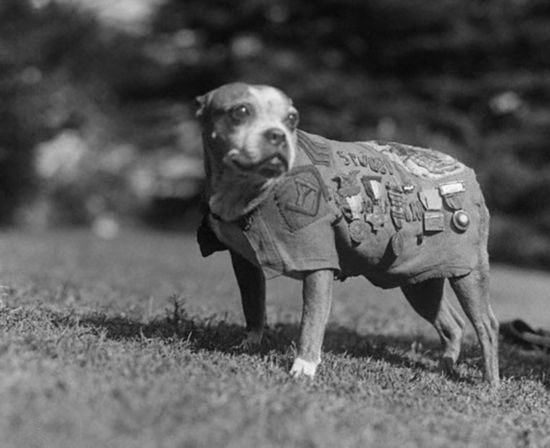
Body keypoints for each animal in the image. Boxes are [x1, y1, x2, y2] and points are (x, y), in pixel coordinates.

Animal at [194, 82, 500, 386]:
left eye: (292, 119)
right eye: (240, 111)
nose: (277, 134)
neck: (249, 191)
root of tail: (466, 171)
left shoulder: (318, 264)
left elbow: (311, 320)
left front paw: (304, 367)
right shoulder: (244, 264)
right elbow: (253, 306)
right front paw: (249, 344)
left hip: (468, 274)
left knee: (487, 325)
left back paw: (490, 382)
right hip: (419, 281)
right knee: (452, 324)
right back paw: (444, 368)